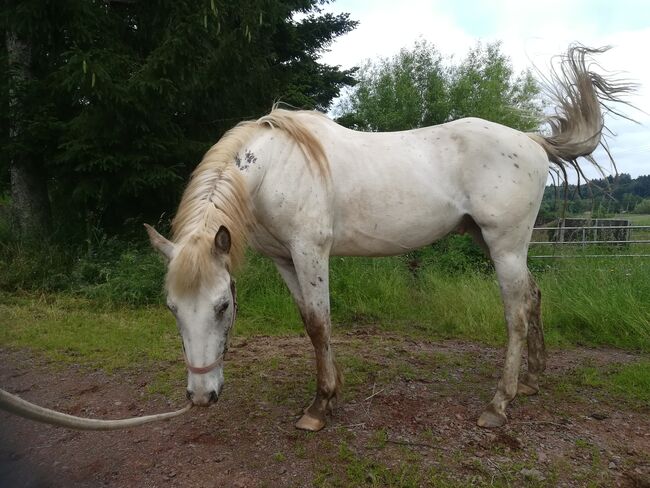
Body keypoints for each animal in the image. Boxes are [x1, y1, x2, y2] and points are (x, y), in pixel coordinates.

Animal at [146, 46, 632, 430]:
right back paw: (531, 381)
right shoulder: (284, 259)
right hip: (493, 242)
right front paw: (331, 392)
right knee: (532, 297)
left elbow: (320, 322)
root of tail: (531, 141)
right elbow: (308, 321)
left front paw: (319, 407)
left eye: (222, 306)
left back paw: (499, 404)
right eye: (172, 308)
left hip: (506, 246)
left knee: (515, 313)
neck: (273, 169)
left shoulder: (310, 252)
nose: (201, 396)